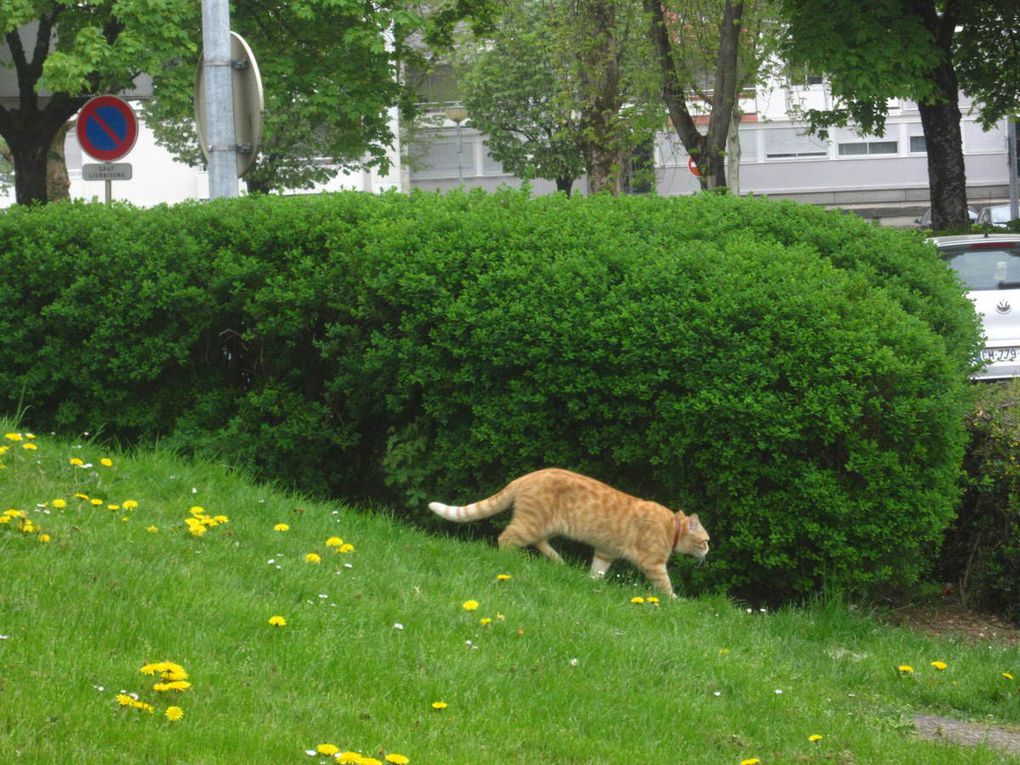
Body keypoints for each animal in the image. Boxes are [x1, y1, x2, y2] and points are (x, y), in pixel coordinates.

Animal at [426, 467, 705, 599]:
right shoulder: (654, 563)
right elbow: (666, 585)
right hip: (531, 523)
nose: (709, 551)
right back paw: (509, 560)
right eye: (705, 542)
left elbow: (597, 572)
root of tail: (525, 477)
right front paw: (676, 599)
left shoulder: (605, 552)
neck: (672, 526)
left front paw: (591, 584)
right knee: (506, 538)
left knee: (539, 542)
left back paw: (559, 562)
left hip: (541, 524)